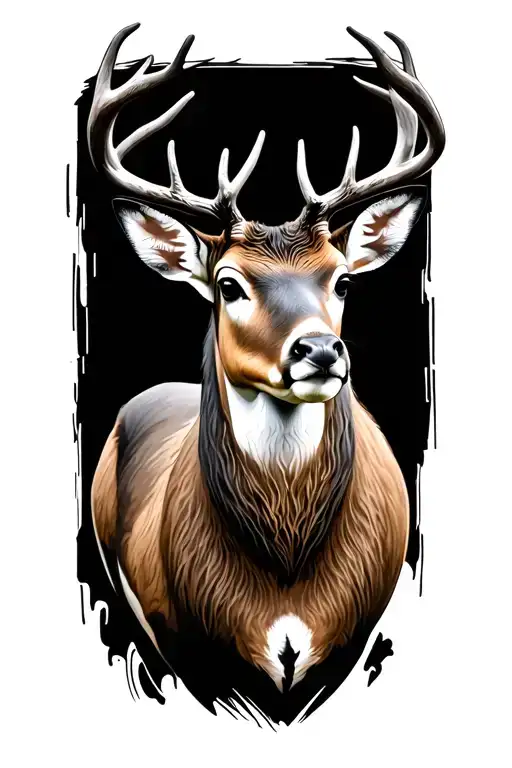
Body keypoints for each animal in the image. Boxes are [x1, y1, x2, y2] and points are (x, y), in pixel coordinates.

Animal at [89, 23, 445, 694]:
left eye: (342, 281)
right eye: (228, 284)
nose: (320, 350)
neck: (286, 569)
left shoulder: (355, 629)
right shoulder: (178, 633)